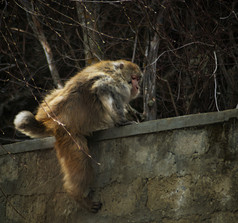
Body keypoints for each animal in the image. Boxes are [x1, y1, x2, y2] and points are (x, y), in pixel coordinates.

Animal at [13, 59, 142, 213]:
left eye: (138, 79)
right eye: (133, 78)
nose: (138, 86)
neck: (115, 70)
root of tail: (49, 122)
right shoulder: (114, 82)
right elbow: (102, 88)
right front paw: (121, 121)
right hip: (69, 136)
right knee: (81, 161)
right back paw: (78, 196)